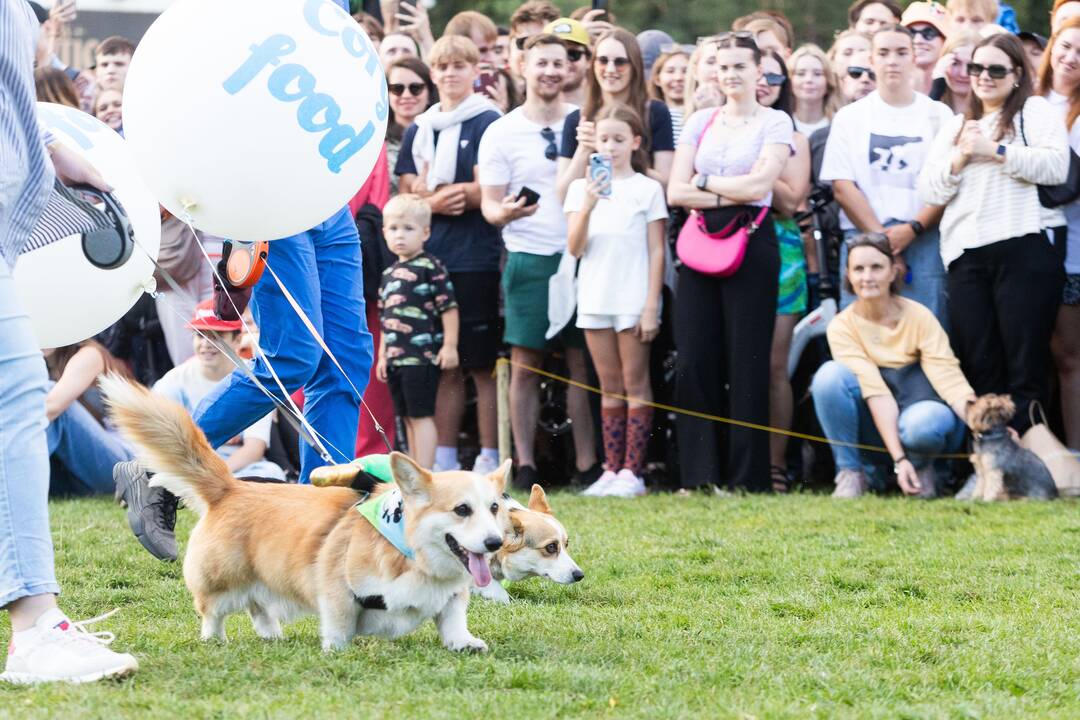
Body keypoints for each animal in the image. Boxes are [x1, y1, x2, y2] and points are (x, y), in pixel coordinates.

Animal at [100, 377, 509, 651]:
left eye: (494, 508)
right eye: (461, 509)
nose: (494, 543)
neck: (410, 553)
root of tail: (231, 488)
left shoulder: (451, 598)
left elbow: (452, 621)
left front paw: (466, 642)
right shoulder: (337, 590)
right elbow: (339, 624)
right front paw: (336, 650)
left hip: (263, 579)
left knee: (259, 607)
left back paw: (272, 635)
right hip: (221, 582)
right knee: (212, 611)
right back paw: (215, 640)